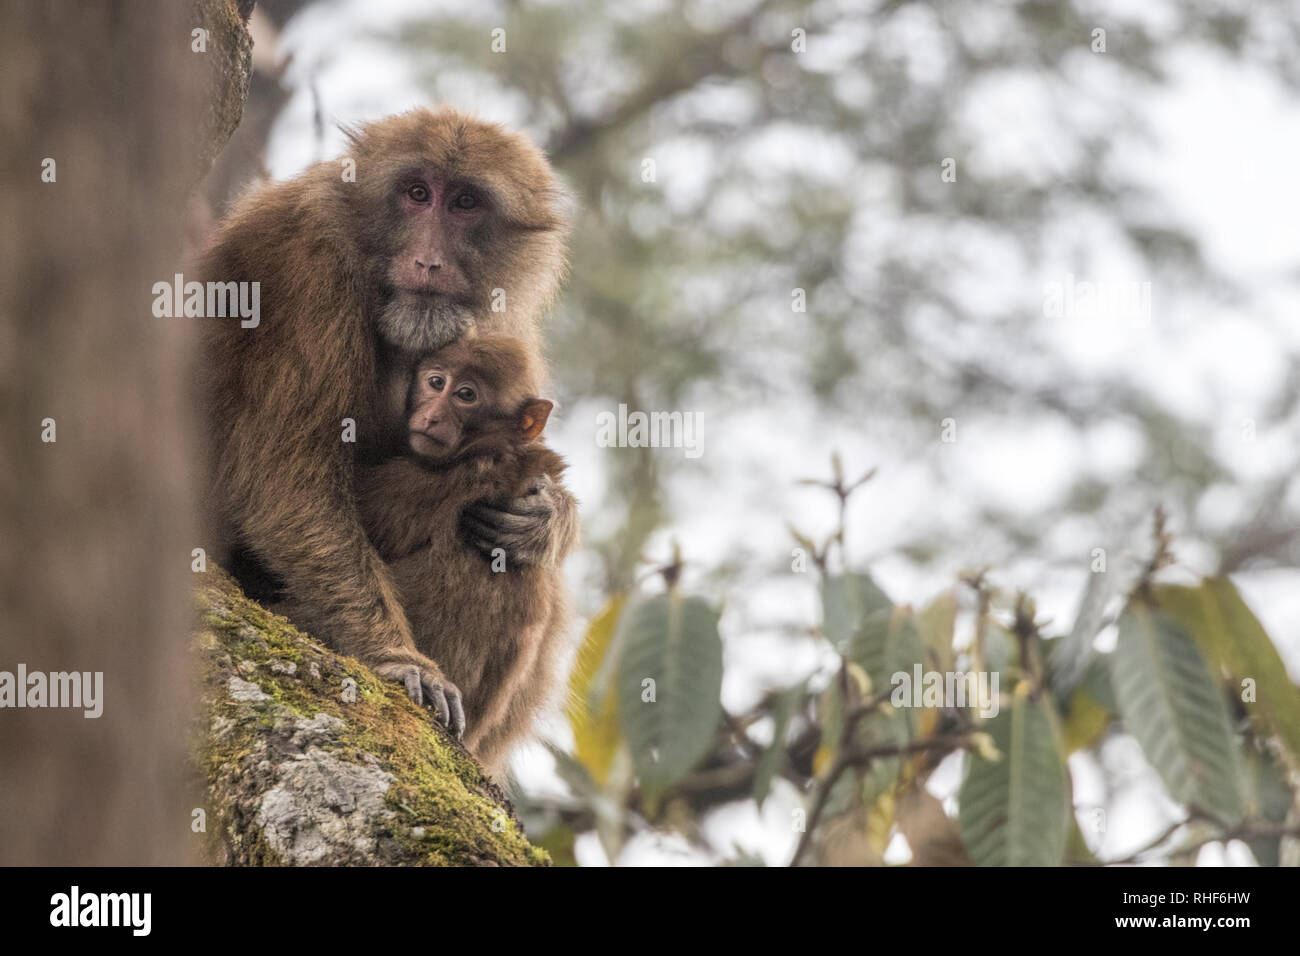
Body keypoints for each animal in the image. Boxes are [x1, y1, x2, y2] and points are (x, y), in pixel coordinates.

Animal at [199, 108, 577, 717]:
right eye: (417, 194)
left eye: (465, 203)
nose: (428, 260)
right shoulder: (312, 266)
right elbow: (286, 484)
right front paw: (397, 657)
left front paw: (549, 517)